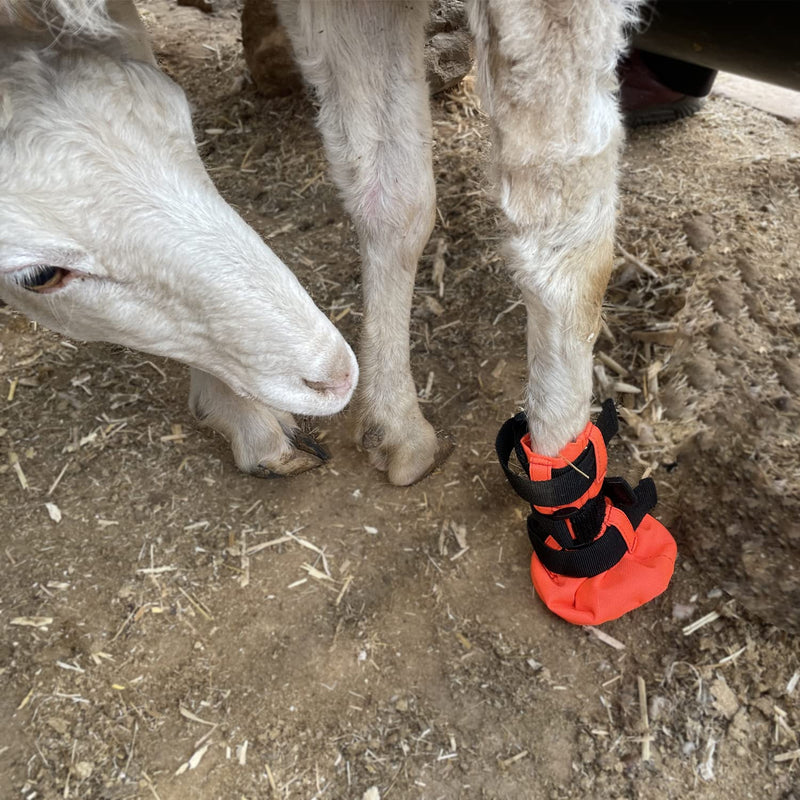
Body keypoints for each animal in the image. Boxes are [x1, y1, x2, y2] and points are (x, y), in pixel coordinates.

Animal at [1, 0, 640, 487]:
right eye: (36, 276)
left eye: (185, 122)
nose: (334, 375)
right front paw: (566, 481)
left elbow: (401, 198)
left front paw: (397, 426)